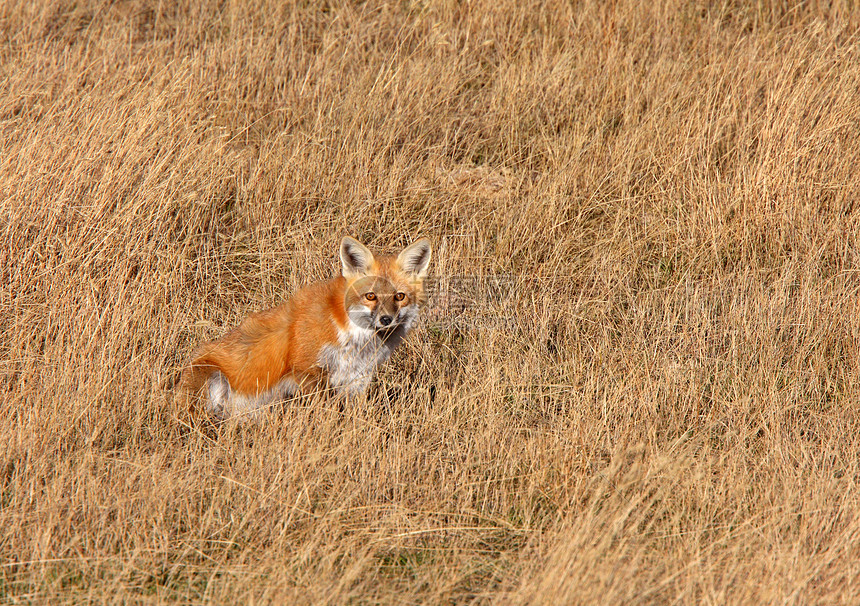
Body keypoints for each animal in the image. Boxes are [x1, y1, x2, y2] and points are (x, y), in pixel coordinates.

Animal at [180, 238, 430, 422]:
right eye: (370, 296)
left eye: (399, 296)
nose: (386, 319)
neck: (352, 335)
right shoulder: (306, 371)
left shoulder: (357, 377)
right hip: (213, 377)